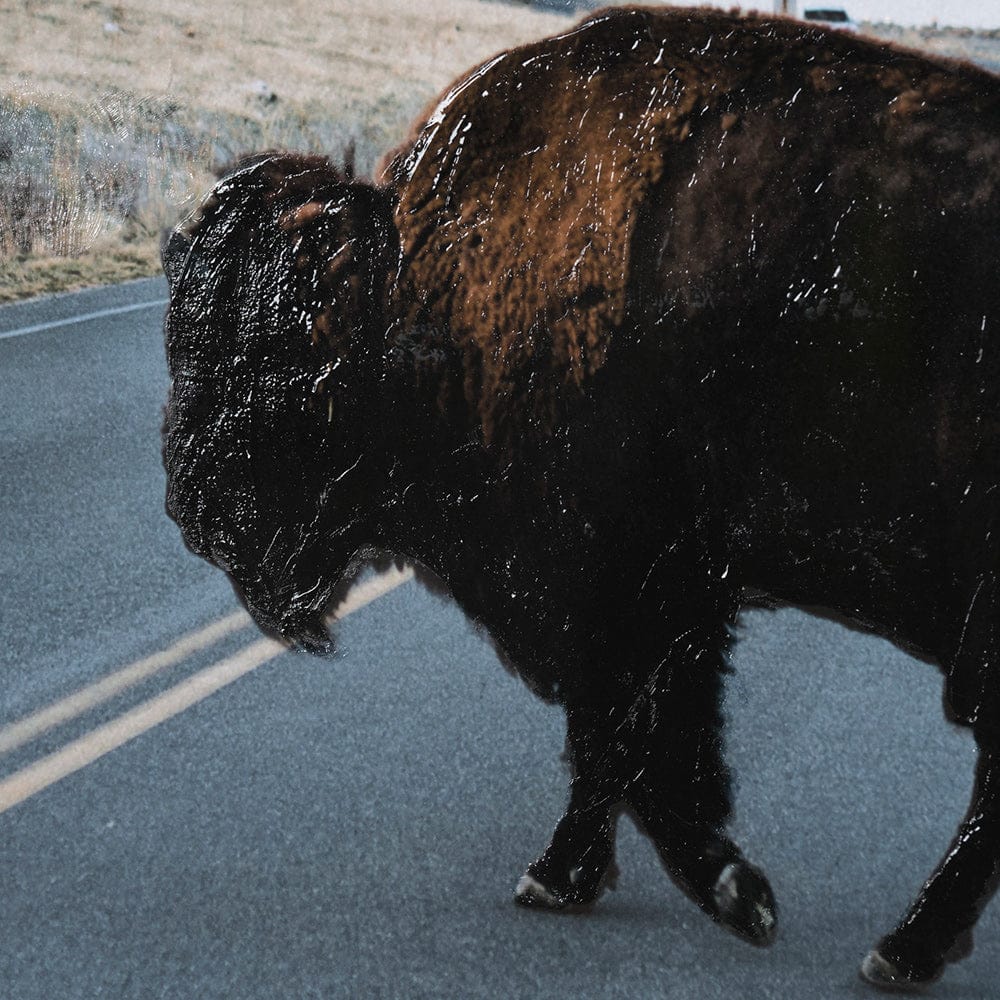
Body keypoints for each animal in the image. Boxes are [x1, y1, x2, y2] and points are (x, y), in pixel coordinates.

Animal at [161, 6, 1000, 990]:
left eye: (266, 346)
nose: (191, 504)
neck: (410, 284)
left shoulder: (620, 588)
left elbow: (626, 743)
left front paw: (718, 892)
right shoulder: (665, 601)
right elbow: (627, 748)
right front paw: (598, 878)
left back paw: (899, 950)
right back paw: (905, 946)